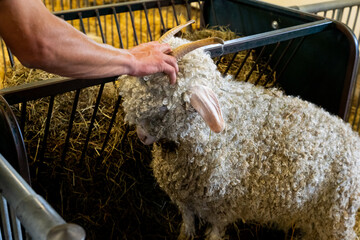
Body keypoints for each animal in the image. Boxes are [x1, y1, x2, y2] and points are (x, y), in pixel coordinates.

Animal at [119, 20, 360, 240]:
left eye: (164, 105)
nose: (141, 136)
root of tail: (353, 138)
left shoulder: (223, 206)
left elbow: (216, 231)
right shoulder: (183, 198)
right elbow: (187, 221)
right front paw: (184, 235)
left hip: (335, 215)